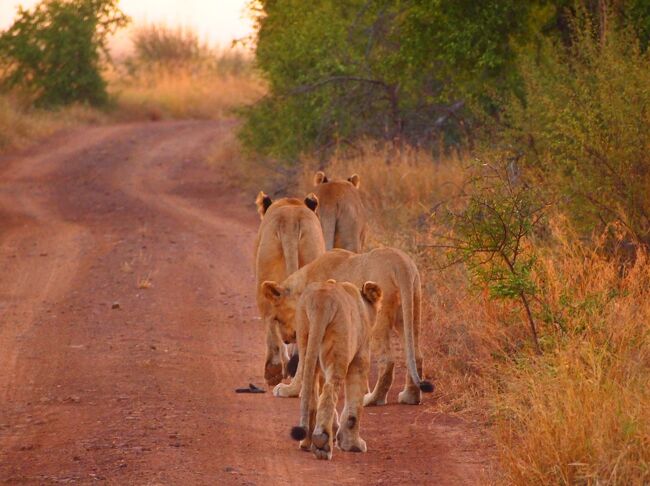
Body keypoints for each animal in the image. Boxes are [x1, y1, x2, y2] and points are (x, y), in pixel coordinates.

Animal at [260, 249, 432, 404]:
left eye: (277, 318)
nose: (286, 340)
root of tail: (401, 264)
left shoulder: (310, 328)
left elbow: (303, 363)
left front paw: (289, 390)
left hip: (379, 322)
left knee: (387, 360)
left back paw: (373, 399)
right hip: (409, 315)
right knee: (416, 355)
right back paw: (410, 397)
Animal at [260, 280, 380, 458]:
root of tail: (321, 302)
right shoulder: (361, 357)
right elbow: (355, 404)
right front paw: (352, 444)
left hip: (306, 343)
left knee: (310, 393)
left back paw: (307, 442)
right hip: (338, 351)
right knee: (330, 392)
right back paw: (322, 443)